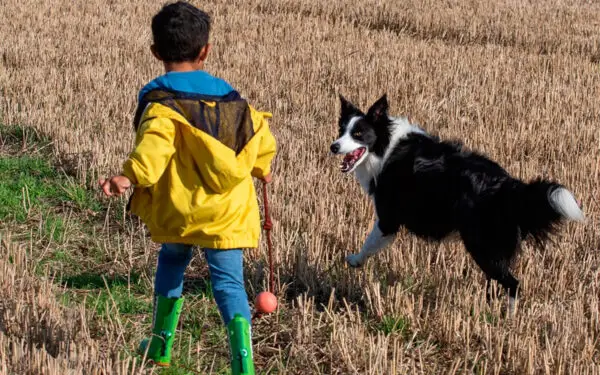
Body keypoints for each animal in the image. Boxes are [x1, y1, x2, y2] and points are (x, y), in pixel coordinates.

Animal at [330, 94, 584, 312]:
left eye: (358, 133)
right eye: (341, 130)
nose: (334, 146)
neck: (386, 145)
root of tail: (508, 186)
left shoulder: (388, 218)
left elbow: (369, 242)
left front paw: (354, 260)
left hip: (481, 245)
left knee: (513, 284)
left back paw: (509, 321)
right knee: (497, 282)